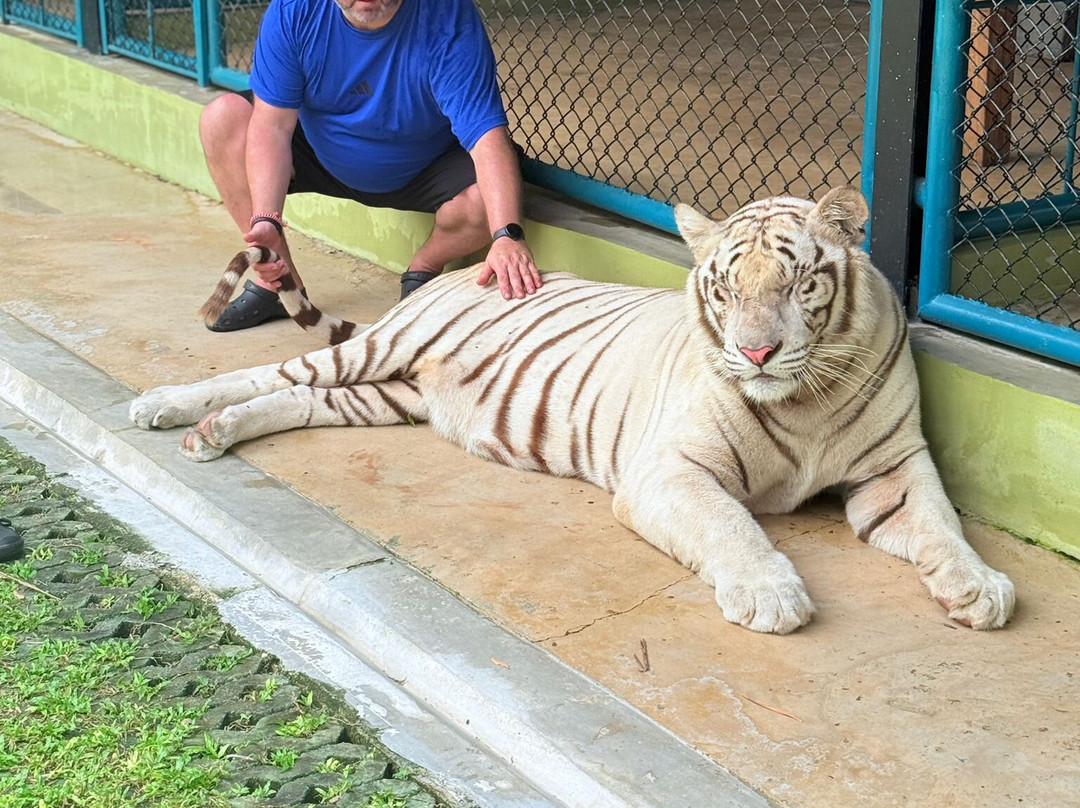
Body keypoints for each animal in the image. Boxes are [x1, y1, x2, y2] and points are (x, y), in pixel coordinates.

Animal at [130, 186, 1015, 634]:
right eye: (727, 289)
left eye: (800, 284)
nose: (757, 353)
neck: (808, 398)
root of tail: (462, 271)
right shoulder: (670, 471)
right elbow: (733, 527)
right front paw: (770, 594)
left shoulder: (897, 466)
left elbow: (941, 525)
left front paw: (978, 588)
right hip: (373, 355)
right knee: (267, 372)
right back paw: (169, 407)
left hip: (383, 397)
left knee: (293, 396)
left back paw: (214, 434)